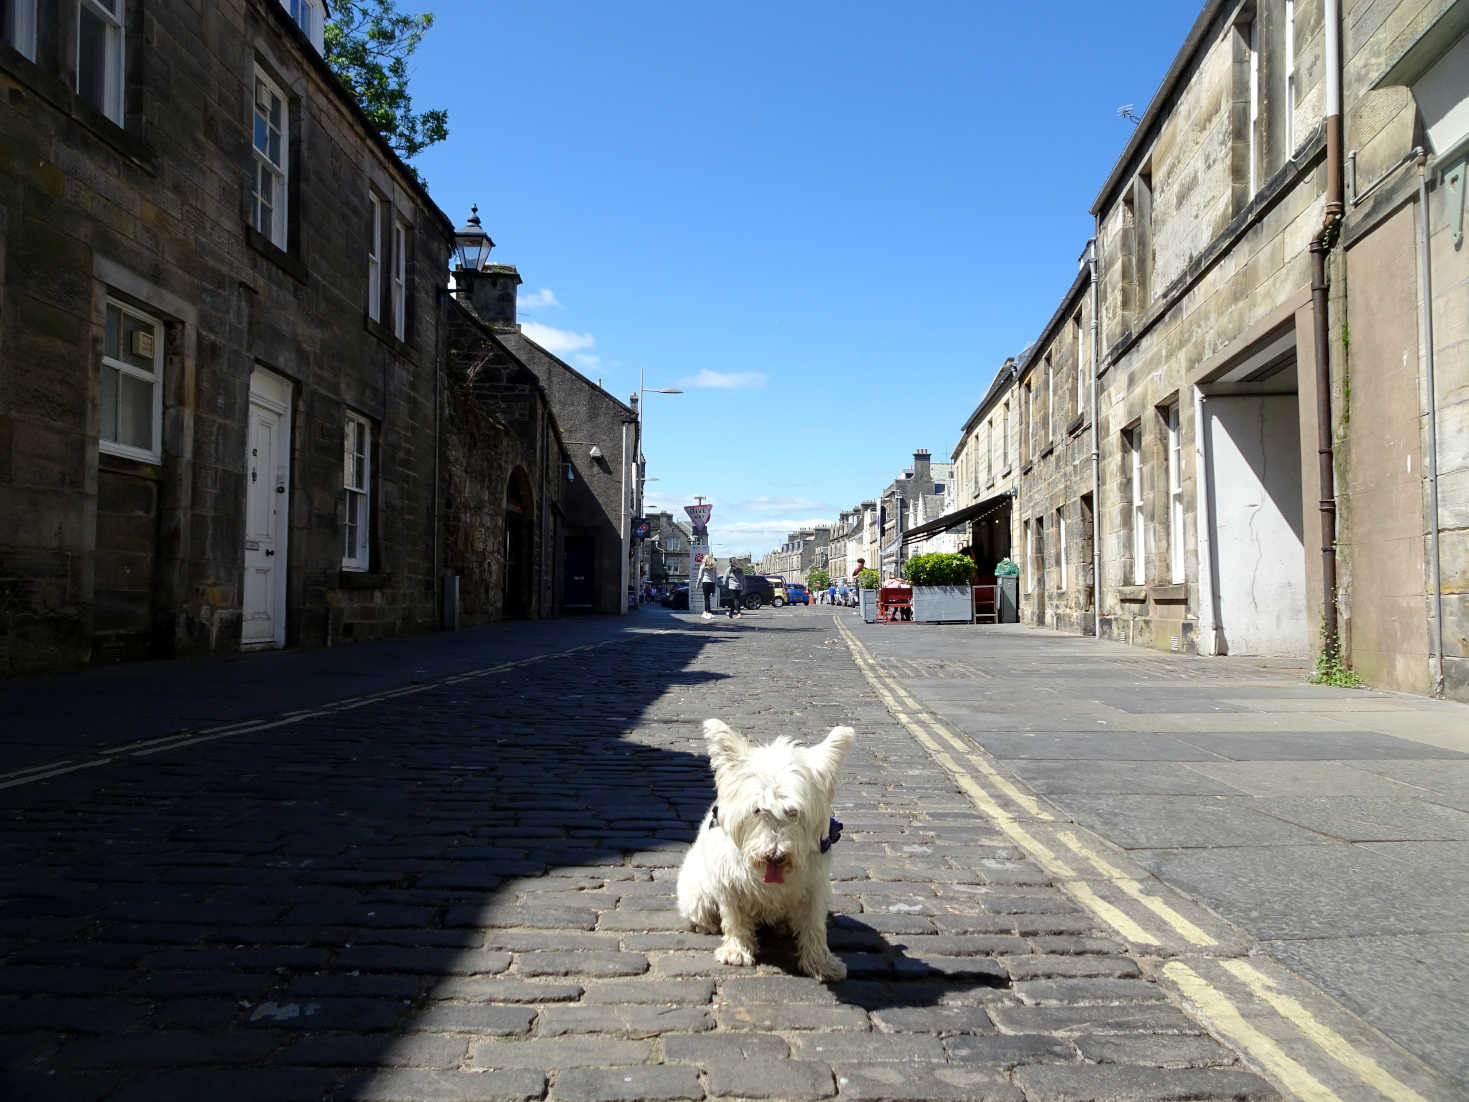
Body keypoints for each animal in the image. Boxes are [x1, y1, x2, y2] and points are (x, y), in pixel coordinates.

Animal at [678, 725, 857, 981]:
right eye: (757, 810)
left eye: (793, 812)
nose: (775, 855)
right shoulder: (729, 884)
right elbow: (734, 919)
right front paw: (736, 950)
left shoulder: (814, 886)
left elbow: (814, 926)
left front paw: (822, 963)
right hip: (696, 893)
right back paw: (707, 924)